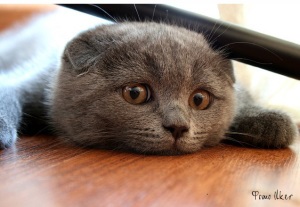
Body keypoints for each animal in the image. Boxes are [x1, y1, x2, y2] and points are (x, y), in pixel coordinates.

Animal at [0, 7, 298, 154]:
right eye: (135, 93)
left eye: (199, 99)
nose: (178, 127)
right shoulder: (33, 80)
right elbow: (7, 93)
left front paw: (269, 120)